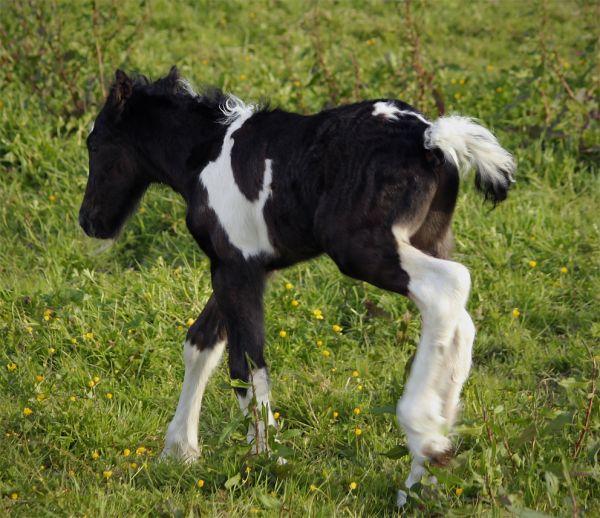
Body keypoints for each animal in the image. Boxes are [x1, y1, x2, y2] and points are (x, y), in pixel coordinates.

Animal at [79, 67, 516, 506]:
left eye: (95, 144)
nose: (90, 221)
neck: (206, 155)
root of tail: (430, 139)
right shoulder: (245, 266)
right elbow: (201, 343)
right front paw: (180, 450)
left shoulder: (235, 266)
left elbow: (246, 365)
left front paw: (267, 461)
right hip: (428, 237)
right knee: (459, 321)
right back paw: (427, 468)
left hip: (359, 247)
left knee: (449, 285)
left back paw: (423, 439)